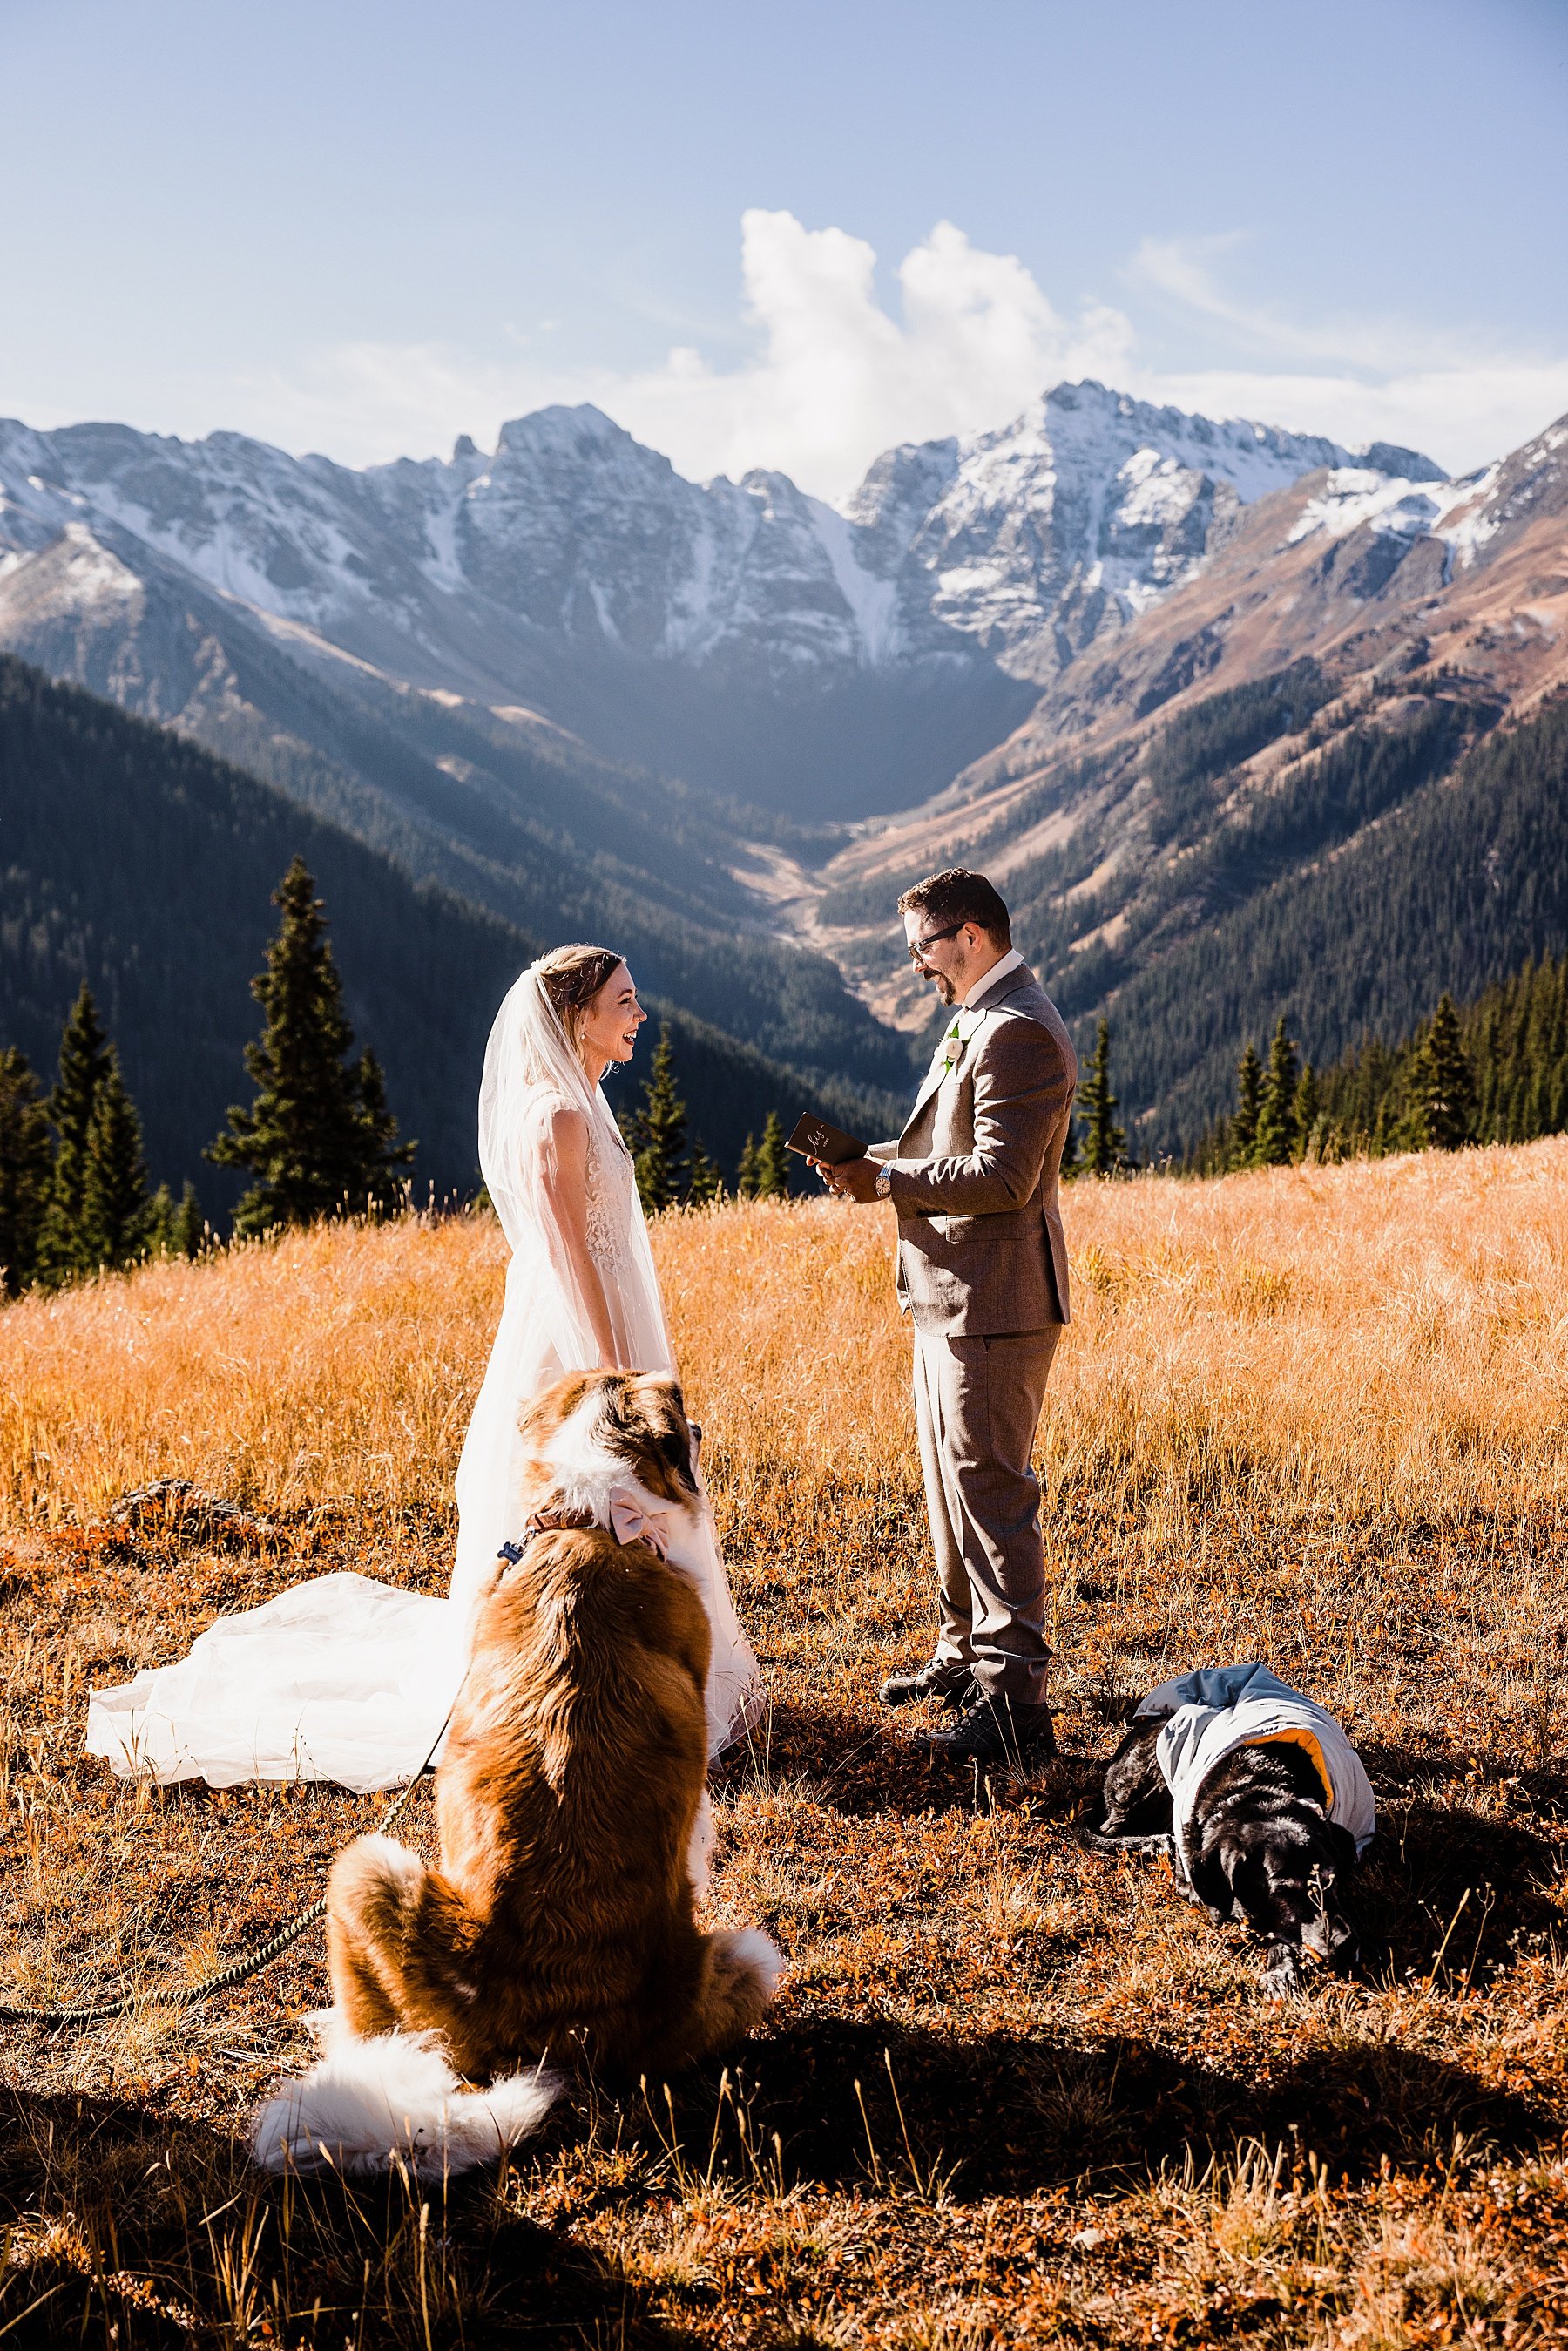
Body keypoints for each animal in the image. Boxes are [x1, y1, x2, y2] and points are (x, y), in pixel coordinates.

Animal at [1091, 1702, 1363, 1993]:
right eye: (1282, 1890)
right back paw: (1152, 1843)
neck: (1254, 1791)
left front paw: (1280, 1967)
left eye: (1331, 1878)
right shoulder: (1190, 1875)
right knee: (1107, 1830)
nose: (1346, 1944)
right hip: (1145, 1786)